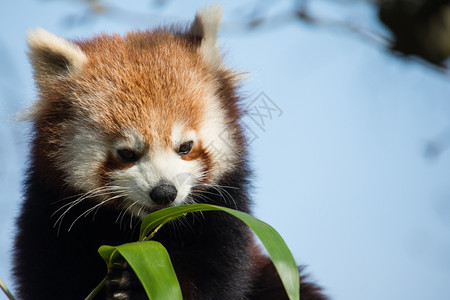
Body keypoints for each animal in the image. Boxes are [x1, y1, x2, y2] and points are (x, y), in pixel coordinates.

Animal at [11, 5, 326, 300]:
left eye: (185, 147)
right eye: (127, 154)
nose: (164, 192)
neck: (138, 230)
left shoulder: (223, 221)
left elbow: (215, 278)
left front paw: (136, 285)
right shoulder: (49, 219)